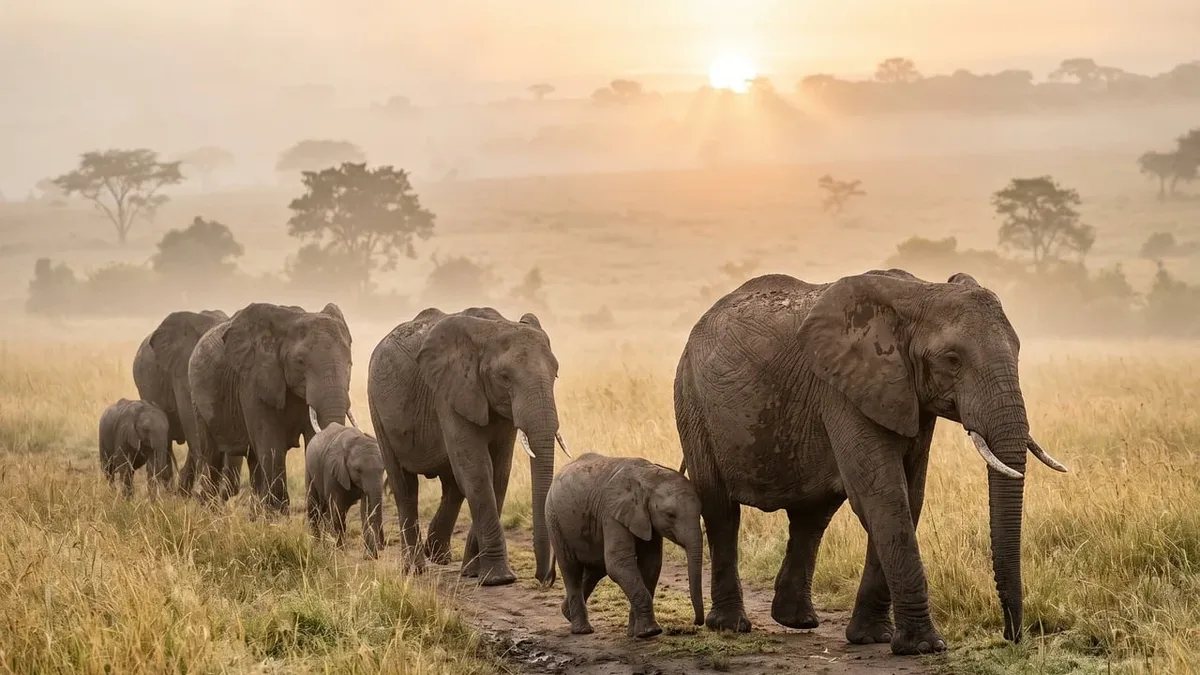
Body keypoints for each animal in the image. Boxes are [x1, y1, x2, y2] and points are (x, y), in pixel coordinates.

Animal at [189, 302, 358, 513]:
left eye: (349, 363)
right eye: (300, 362)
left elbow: (311, 438)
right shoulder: (253, 380)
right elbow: (271, 443)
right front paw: (278, 514)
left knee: (253, 458)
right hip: (197, 399)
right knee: (211, 454)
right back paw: (209, 511)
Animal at [305, 418, 386, 559]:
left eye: (383, 470)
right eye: (358, 470)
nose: (382, 546)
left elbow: (367, 509)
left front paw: (369, 556)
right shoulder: (332, 471)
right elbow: (338, 509)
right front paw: (340, 552)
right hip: (310, 470)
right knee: (314, 506)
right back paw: (317, 547)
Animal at [367, 307, 569, 586]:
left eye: (556, 373)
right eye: (504, 377)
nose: (546, 578)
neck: (494, 328)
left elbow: (498, 474)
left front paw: (475, 573)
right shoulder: (448, 392)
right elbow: (478, 472)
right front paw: (498, 580)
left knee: (452, 485)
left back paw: (438, 555)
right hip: (377, 407)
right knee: (404, 486)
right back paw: (415, 569)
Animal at [546, 452, 705, 638]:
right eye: (670, 515)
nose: (696, 622)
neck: (649, 478)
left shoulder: (645, 518)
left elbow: (651, 564)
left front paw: (634, 632)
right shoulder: (612, 513)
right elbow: (619, 563)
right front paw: (650, 632)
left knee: (595, 570)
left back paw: (567, 614)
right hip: (554, 519)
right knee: (571, 569)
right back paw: (582, 630)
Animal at [673, 269, 1067, 655]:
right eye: (952, 360)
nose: (1011, 636)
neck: (920, 293)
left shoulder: (908, 397)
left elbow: (909, 496)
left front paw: (873, 638)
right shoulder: (843, 390)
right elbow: (883, 495)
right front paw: (923, 646)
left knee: (812, 516)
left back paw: (796, 621)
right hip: (692, 402)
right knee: (721, 509)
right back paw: (731, 625)